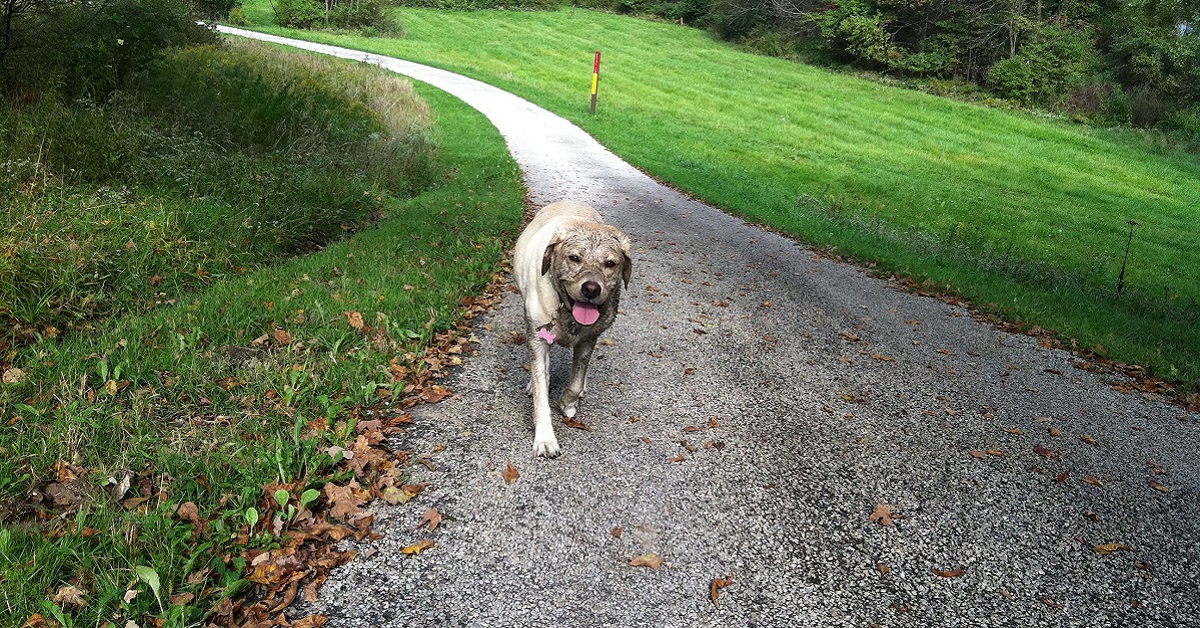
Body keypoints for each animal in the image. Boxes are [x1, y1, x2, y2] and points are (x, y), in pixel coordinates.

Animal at [511, 200, 633, 456]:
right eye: (574, 258)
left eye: (610, 263)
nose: (591, 288)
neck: (565, 309)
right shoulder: (538, 336)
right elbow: (541, 390)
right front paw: (545, 438)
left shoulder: (589, 338)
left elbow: (576, 381)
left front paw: (568, 402)